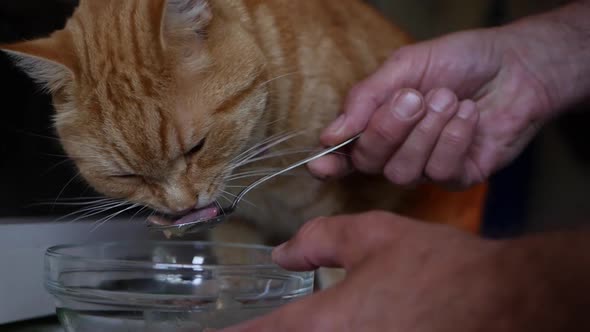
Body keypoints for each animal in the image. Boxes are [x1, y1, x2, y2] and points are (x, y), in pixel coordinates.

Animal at [2, 0, 488, 274]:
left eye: (196, 147)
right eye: (127, 176)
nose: (183, 207)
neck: (259, 171)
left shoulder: (332, 222)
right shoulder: (237, 231)